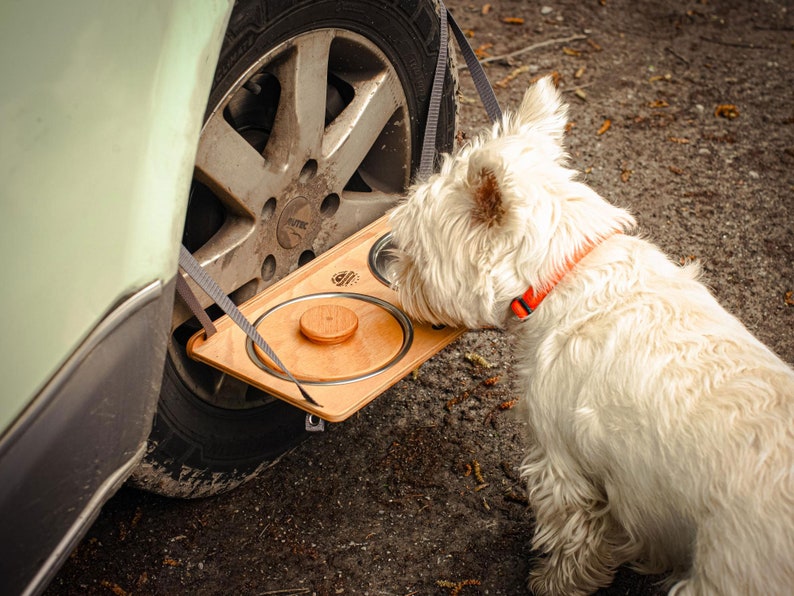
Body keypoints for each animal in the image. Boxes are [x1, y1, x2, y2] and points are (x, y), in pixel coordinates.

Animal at [388, 77, 792, 592]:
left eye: (414, 250)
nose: (396, 280)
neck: (565, 274)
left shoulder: (562, 467)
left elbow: (574, 543)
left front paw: (550, 583)